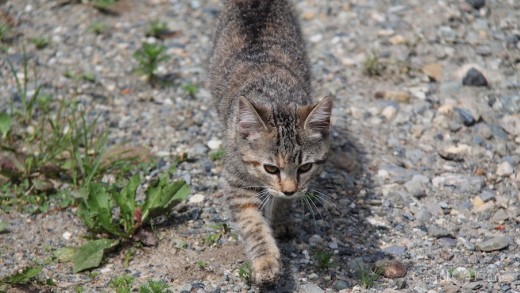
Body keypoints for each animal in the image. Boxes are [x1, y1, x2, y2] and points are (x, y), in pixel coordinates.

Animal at [208, 0, 334, 282]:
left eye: (305, 167)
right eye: (270, 168)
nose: (290, 190)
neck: (276, 97)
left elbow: (280, 202)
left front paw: (282, 218)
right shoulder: (236, 184)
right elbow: (253, 225)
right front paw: (265, 261)